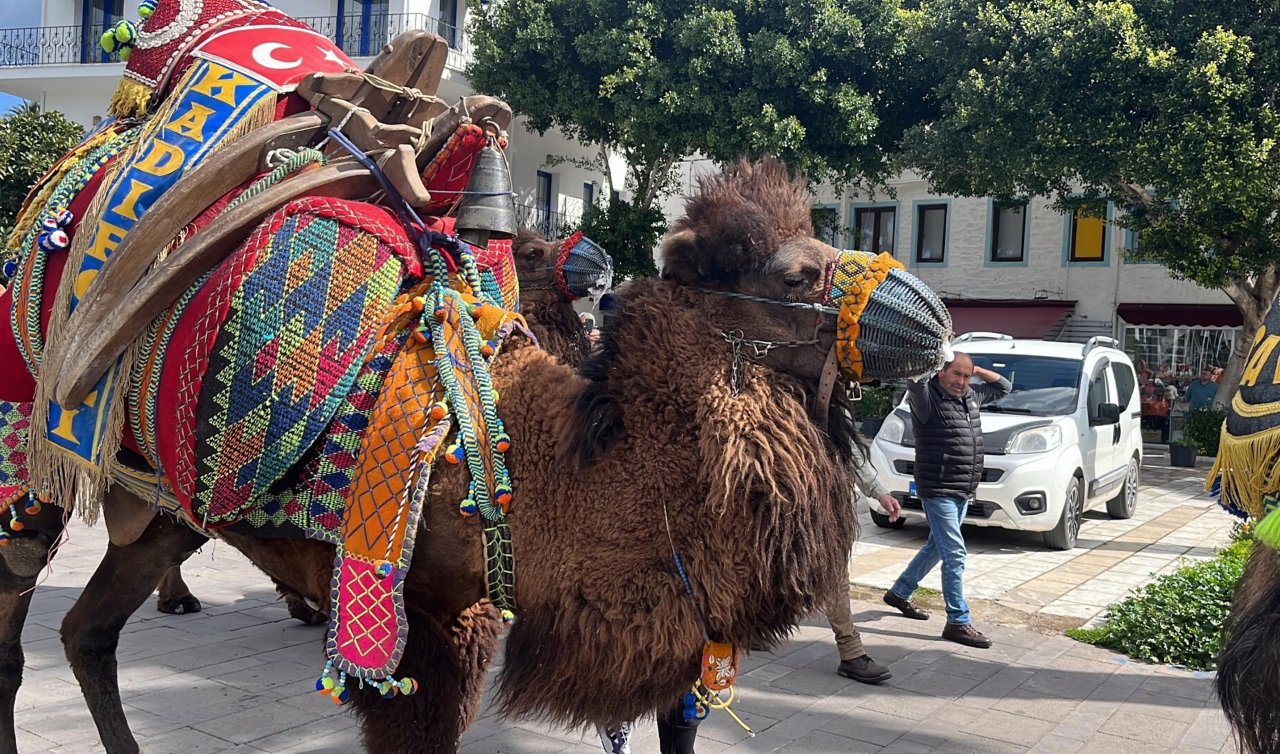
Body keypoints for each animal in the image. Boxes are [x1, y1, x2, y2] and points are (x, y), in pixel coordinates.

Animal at [0, 160, 870, 752]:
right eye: (801, 274)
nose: (914, 317)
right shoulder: (408, 622)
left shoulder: (481, 614)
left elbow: (678, 718)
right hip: (27, 467)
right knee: (17, 616)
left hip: (165, 516)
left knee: (87, 631)